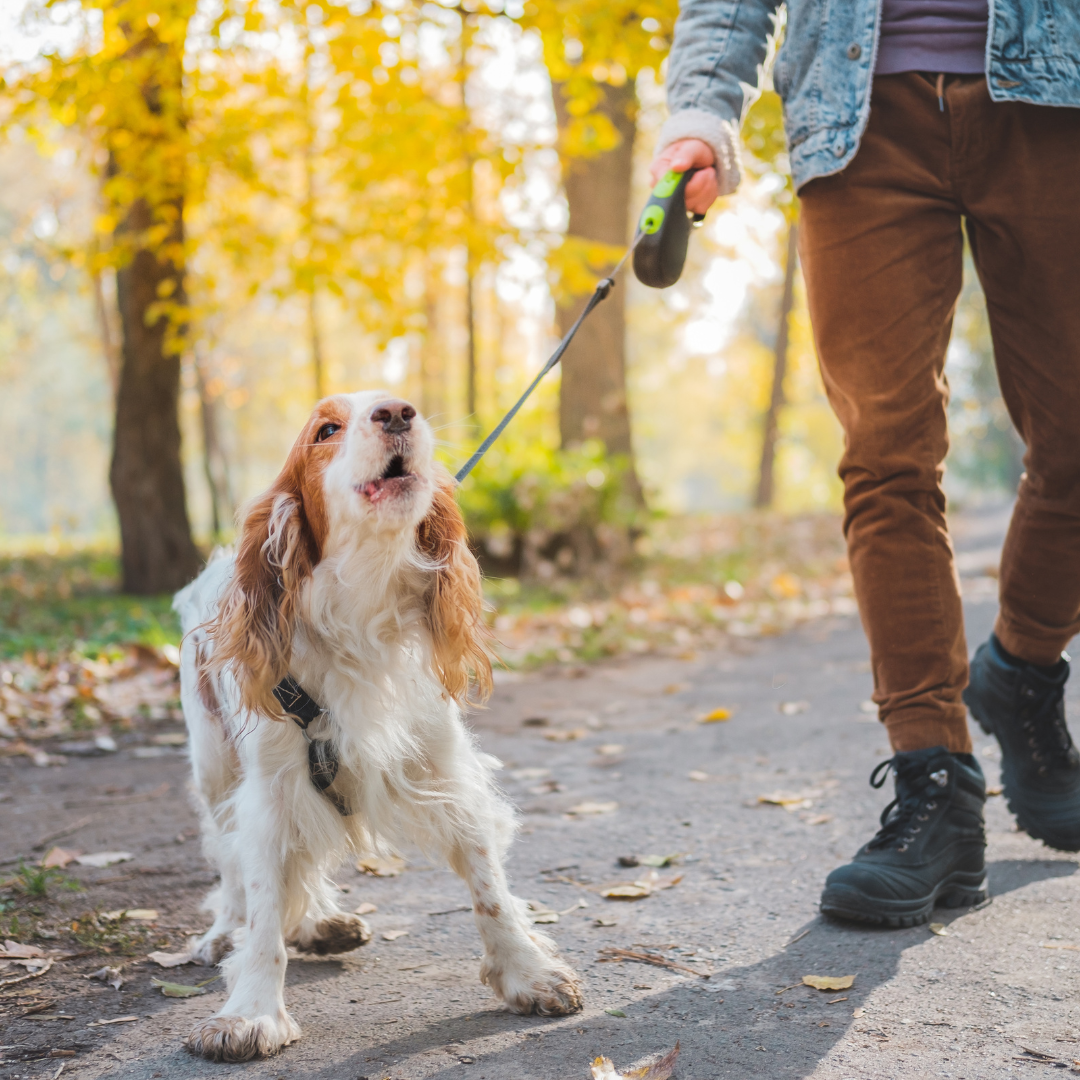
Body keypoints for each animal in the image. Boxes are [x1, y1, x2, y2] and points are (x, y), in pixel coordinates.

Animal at [173, 393, 587, 1058]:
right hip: (215, 770)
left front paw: (527, 971)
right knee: (232, 863)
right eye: (326, 430)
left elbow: (489, 888)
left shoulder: (445, 770)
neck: (360, 609)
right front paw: (251, 1013)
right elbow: (262, 908)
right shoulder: (271, 791)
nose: (397, 412)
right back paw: (225, 932)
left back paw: (321, 923)